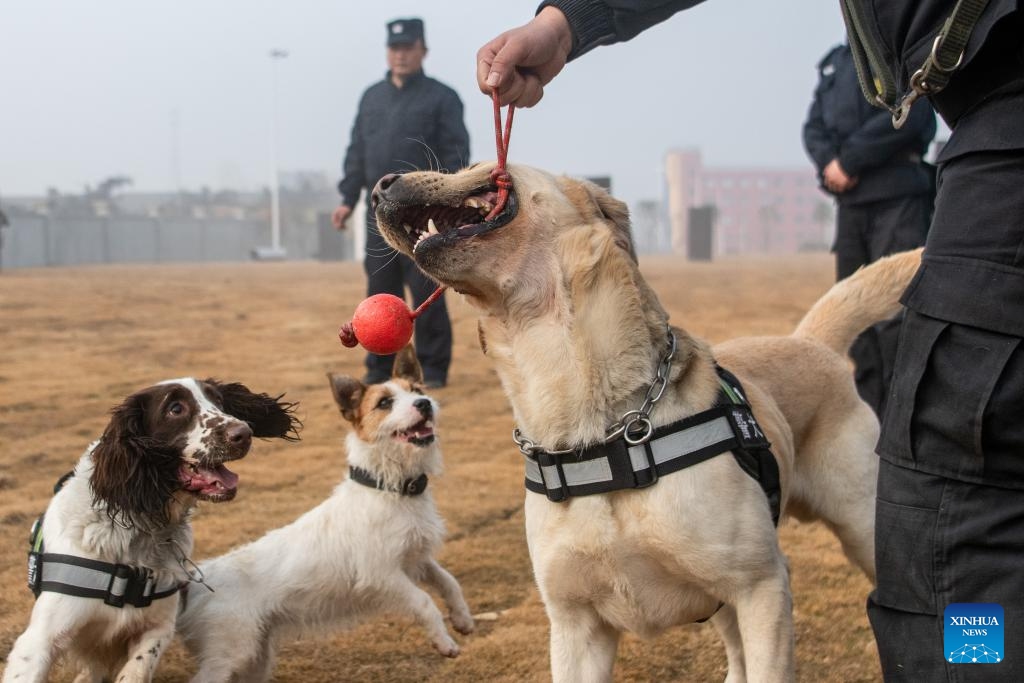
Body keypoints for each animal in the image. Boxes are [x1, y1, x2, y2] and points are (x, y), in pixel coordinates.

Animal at [178, 348, 473, 683]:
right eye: (385, 403)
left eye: (417, 390)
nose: (424, 403)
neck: (388, 490)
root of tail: (194, 581)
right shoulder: (382, 574)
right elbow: (424, 601)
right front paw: (445, 642)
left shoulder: (416, 559)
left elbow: (448, 581)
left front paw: (463, 619)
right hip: (230, 652)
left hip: (255, 656)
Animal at [370, 162, 921, 679]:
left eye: (479, 167)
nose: (378, 186)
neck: (598, 435)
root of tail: (809, 341)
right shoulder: (575, 625)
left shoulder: (761, 588)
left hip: (864, 532)